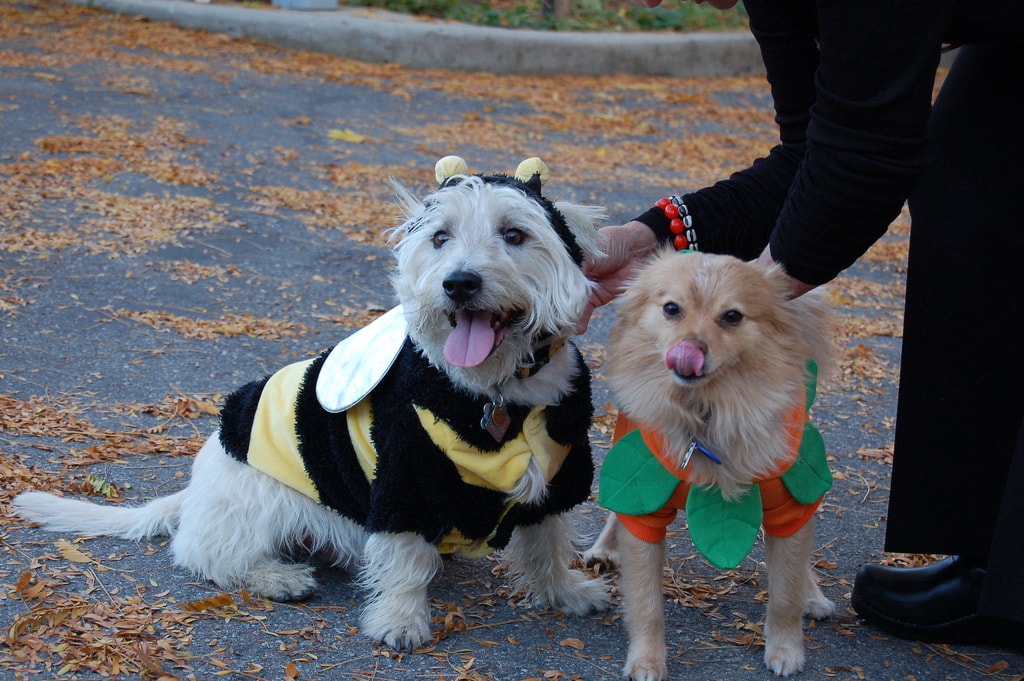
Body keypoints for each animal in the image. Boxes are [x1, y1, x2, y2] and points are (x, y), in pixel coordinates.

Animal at [14, 156, 606, 651]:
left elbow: (549, 544)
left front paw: (567, 593)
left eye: (515, 234)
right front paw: (399, 621)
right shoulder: (404, 484)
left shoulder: (560, 475)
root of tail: (195, 487)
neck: (497, 392)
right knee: (202, 552)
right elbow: (405, 563)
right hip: (260, 498)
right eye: (441, 237)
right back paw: (279, 577)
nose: (458, 283)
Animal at [589, 249, 835, 679]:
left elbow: (785, 592)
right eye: (671, 309)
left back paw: (813, 595)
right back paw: (605, 548)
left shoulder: (789, 506)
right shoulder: (643, 500)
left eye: (732, 316)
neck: (706, 414)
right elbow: (647, 603)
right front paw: (647, 659)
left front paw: (786, 648)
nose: (691, 349)